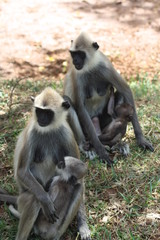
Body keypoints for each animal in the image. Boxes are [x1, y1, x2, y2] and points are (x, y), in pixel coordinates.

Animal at [0, 87, 90, 240]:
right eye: (39, 111)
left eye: (47, 113)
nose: (41, 119)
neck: (48, 130)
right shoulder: (32, 134)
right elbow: (22, 171)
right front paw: (46, 200)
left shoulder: (66, 134)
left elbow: (80, 180)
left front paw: (83, 226)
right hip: (22, 199)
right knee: (33, 199)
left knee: (77, 187)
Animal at [62, 31, 154, 164]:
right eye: (73, 54)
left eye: (80, 54)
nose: (75, 60)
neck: (90, 67)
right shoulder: (78, 74)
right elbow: (80, 107)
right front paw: (100, 150)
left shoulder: (104, 67)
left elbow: (125, 90)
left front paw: (141, 139)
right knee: (66, 101)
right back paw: (85, 145)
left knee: (119, 97)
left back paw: (116, 144)